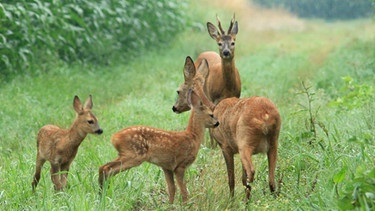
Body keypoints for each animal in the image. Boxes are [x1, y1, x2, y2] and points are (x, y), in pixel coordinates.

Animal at [173, 56, 282, 202]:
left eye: (178, 91)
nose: (174, 108)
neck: (213, 109)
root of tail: (266, 116)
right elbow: (241, 177)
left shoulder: (225, 146)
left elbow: (232, 179)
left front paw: (231, 200)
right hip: (273, 142)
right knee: (271, 178)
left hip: (245, 141)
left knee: (251, 172)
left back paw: (247, 197)